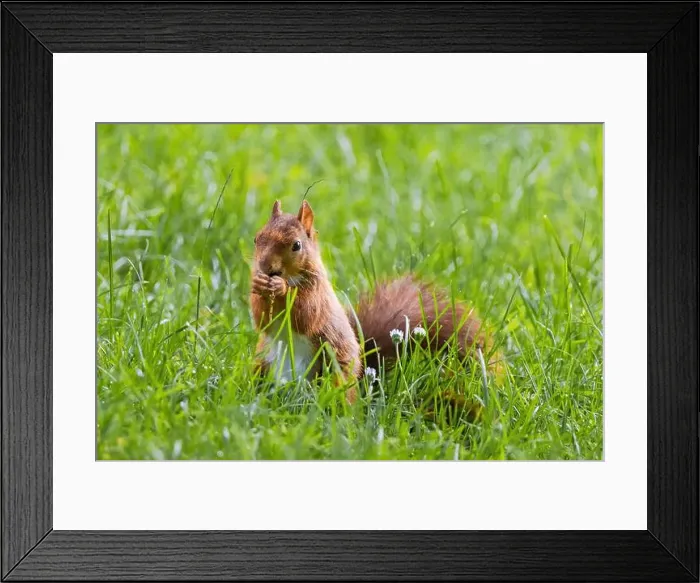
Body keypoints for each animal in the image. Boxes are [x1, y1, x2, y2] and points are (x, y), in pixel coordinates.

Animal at [250, 199, 501, 412]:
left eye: (296, 245)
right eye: (256, 238)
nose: (266, 267)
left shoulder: (317, 295)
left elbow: (305, 315)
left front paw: (281, 287)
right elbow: (263, 320)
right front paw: (259, 283)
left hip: (334, 368)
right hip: (263, 363)